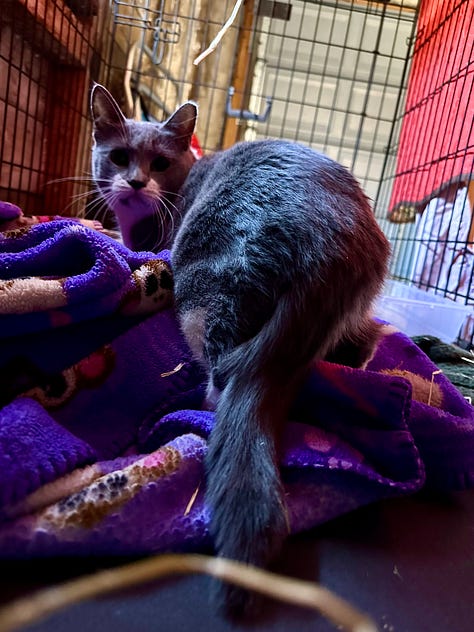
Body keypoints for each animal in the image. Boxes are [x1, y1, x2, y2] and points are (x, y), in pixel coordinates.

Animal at [90, 84, 390, 616]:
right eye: (119, 156)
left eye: (160, 162)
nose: (136, 182)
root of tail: (330, 245)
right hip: (355, 306)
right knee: (364, 342)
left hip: (203, 287)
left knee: (217, 377)